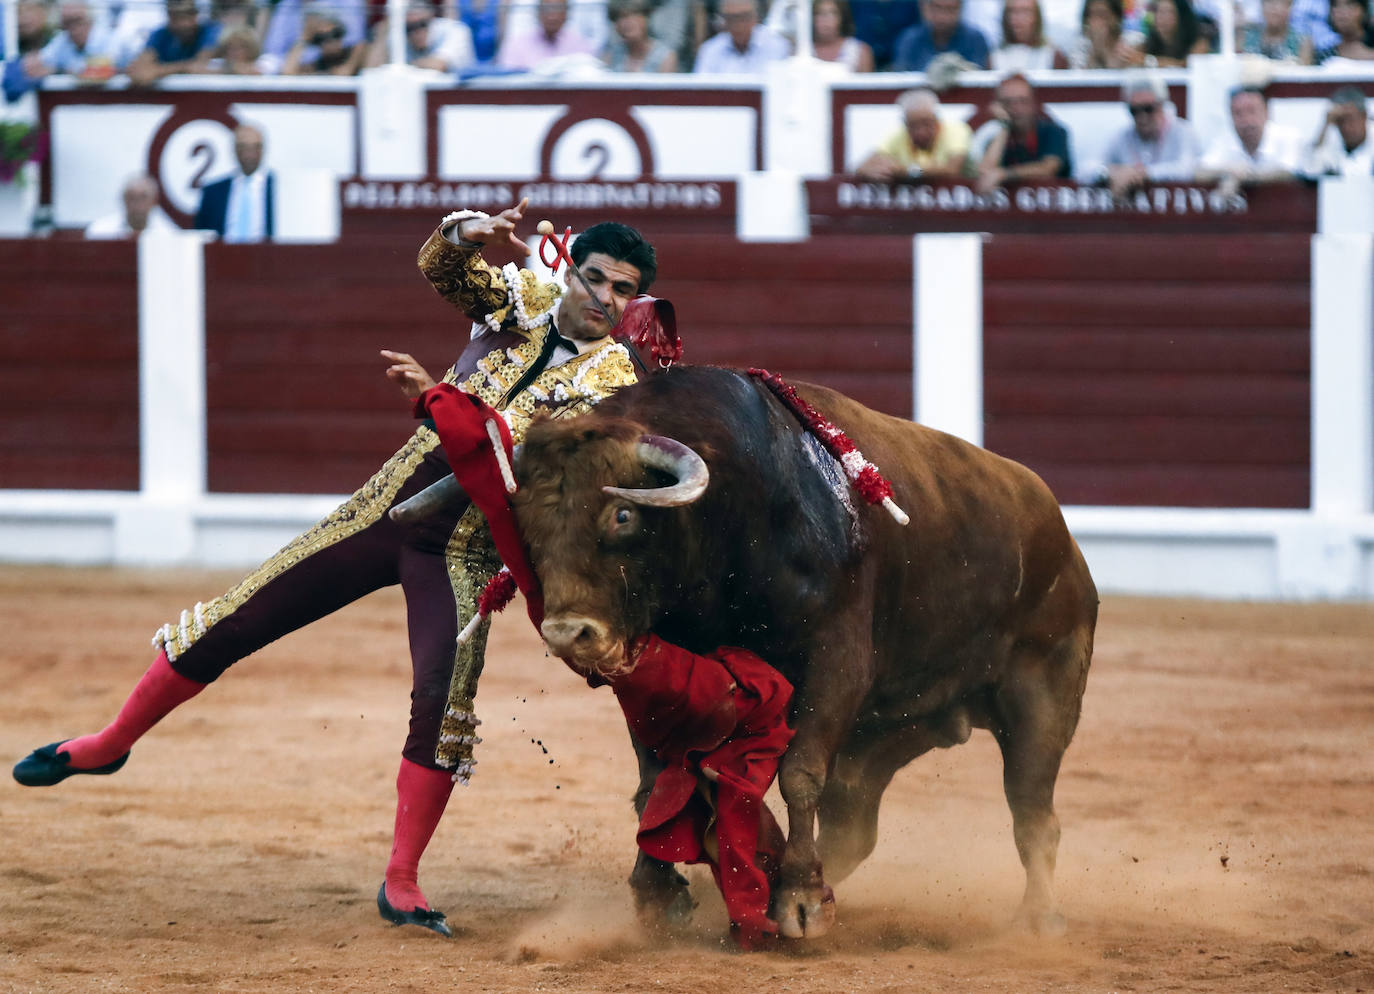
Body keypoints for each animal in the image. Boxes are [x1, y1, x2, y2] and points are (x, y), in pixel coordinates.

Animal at [511, 365, 1099, 940]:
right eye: (528, 525)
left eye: (623, 515)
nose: (566, 633)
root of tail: (1065, 541)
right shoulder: (659, 675)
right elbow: (658, 780)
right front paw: (660, 895)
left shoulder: (835, 665)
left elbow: (799, 773)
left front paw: (800, 900)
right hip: (882, 734)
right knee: (854, 821)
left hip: (1043, 696)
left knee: (1032, 811)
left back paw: (1038, 920)